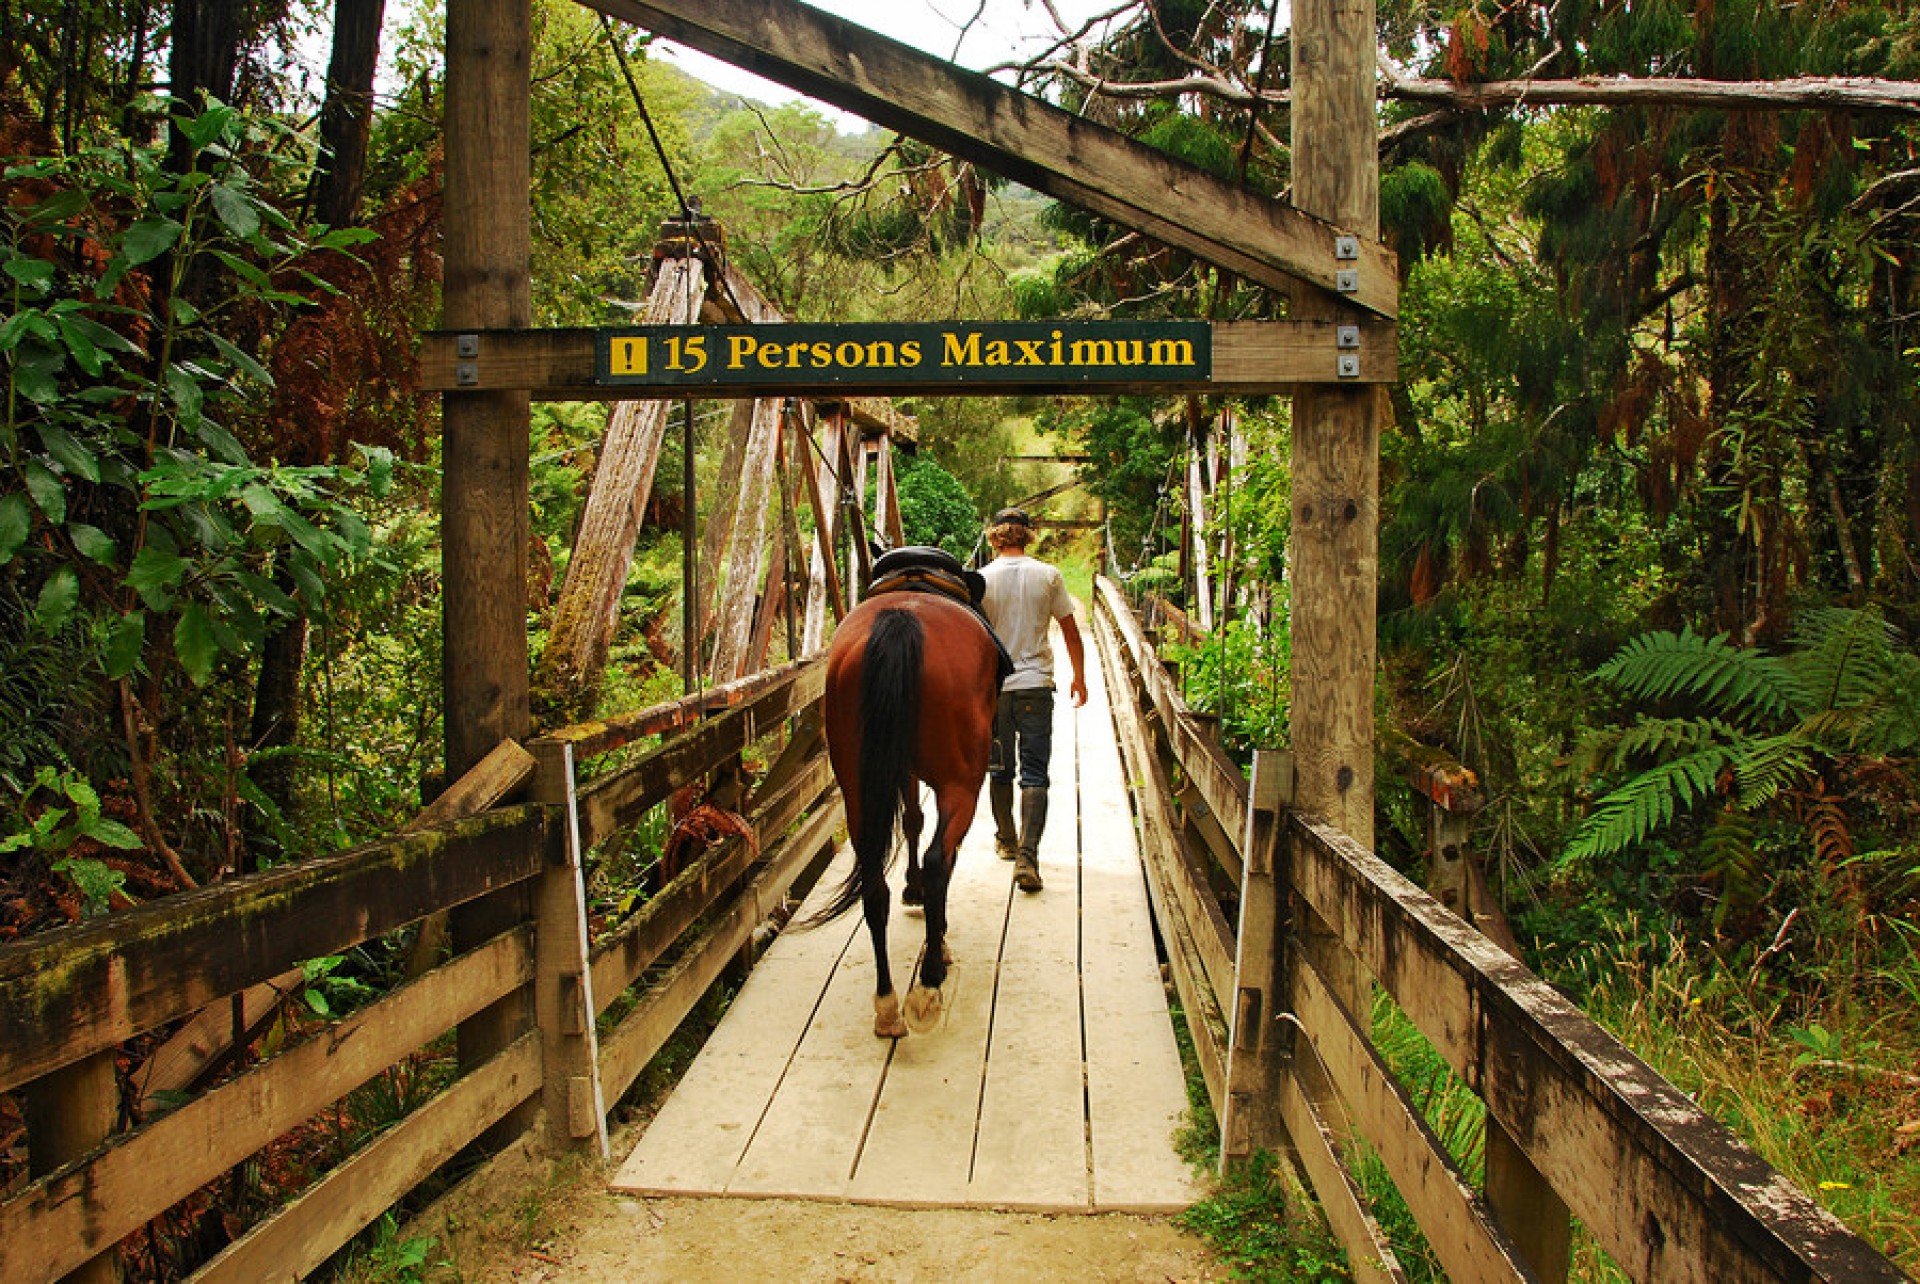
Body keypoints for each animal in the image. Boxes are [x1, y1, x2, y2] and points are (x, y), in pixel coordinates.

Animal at [814, 587, 998, 1036]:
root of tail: (901, 620)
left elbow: (913, 819)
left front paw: (912, 891)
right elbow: (941, 851)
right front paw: (938, 934)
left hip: (857, 782)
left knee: (873, 885)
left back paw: (886, 1002)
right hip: (961, 784)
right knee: (938, 860)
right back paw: (928, 982)